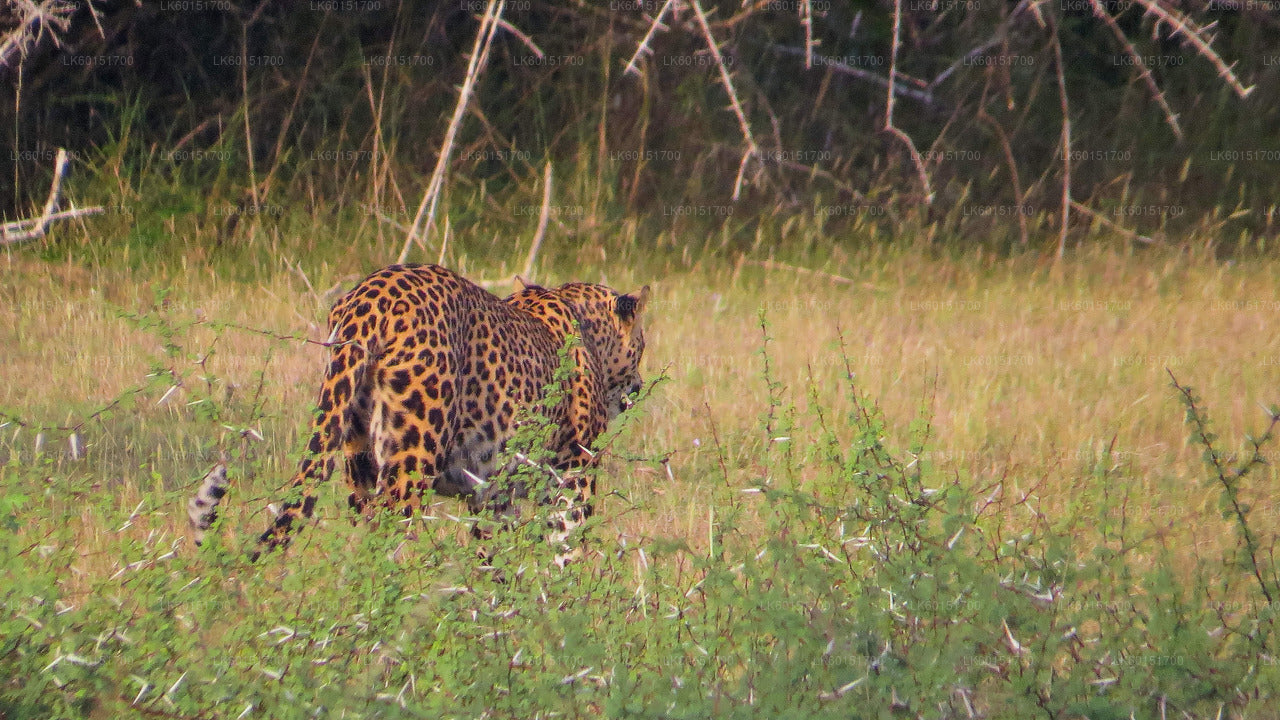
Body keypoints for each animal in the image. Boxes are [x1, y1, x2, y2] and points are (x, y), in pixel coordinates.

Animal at [186, 263, 650, 561]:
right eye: (643, 345)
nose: (639, 385)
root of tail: (368, 298)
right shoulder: (577, 472)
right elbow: (568, 548)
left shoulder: (493, 494)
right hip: (413, 457)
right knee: (388, 542)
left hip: (357, 456)